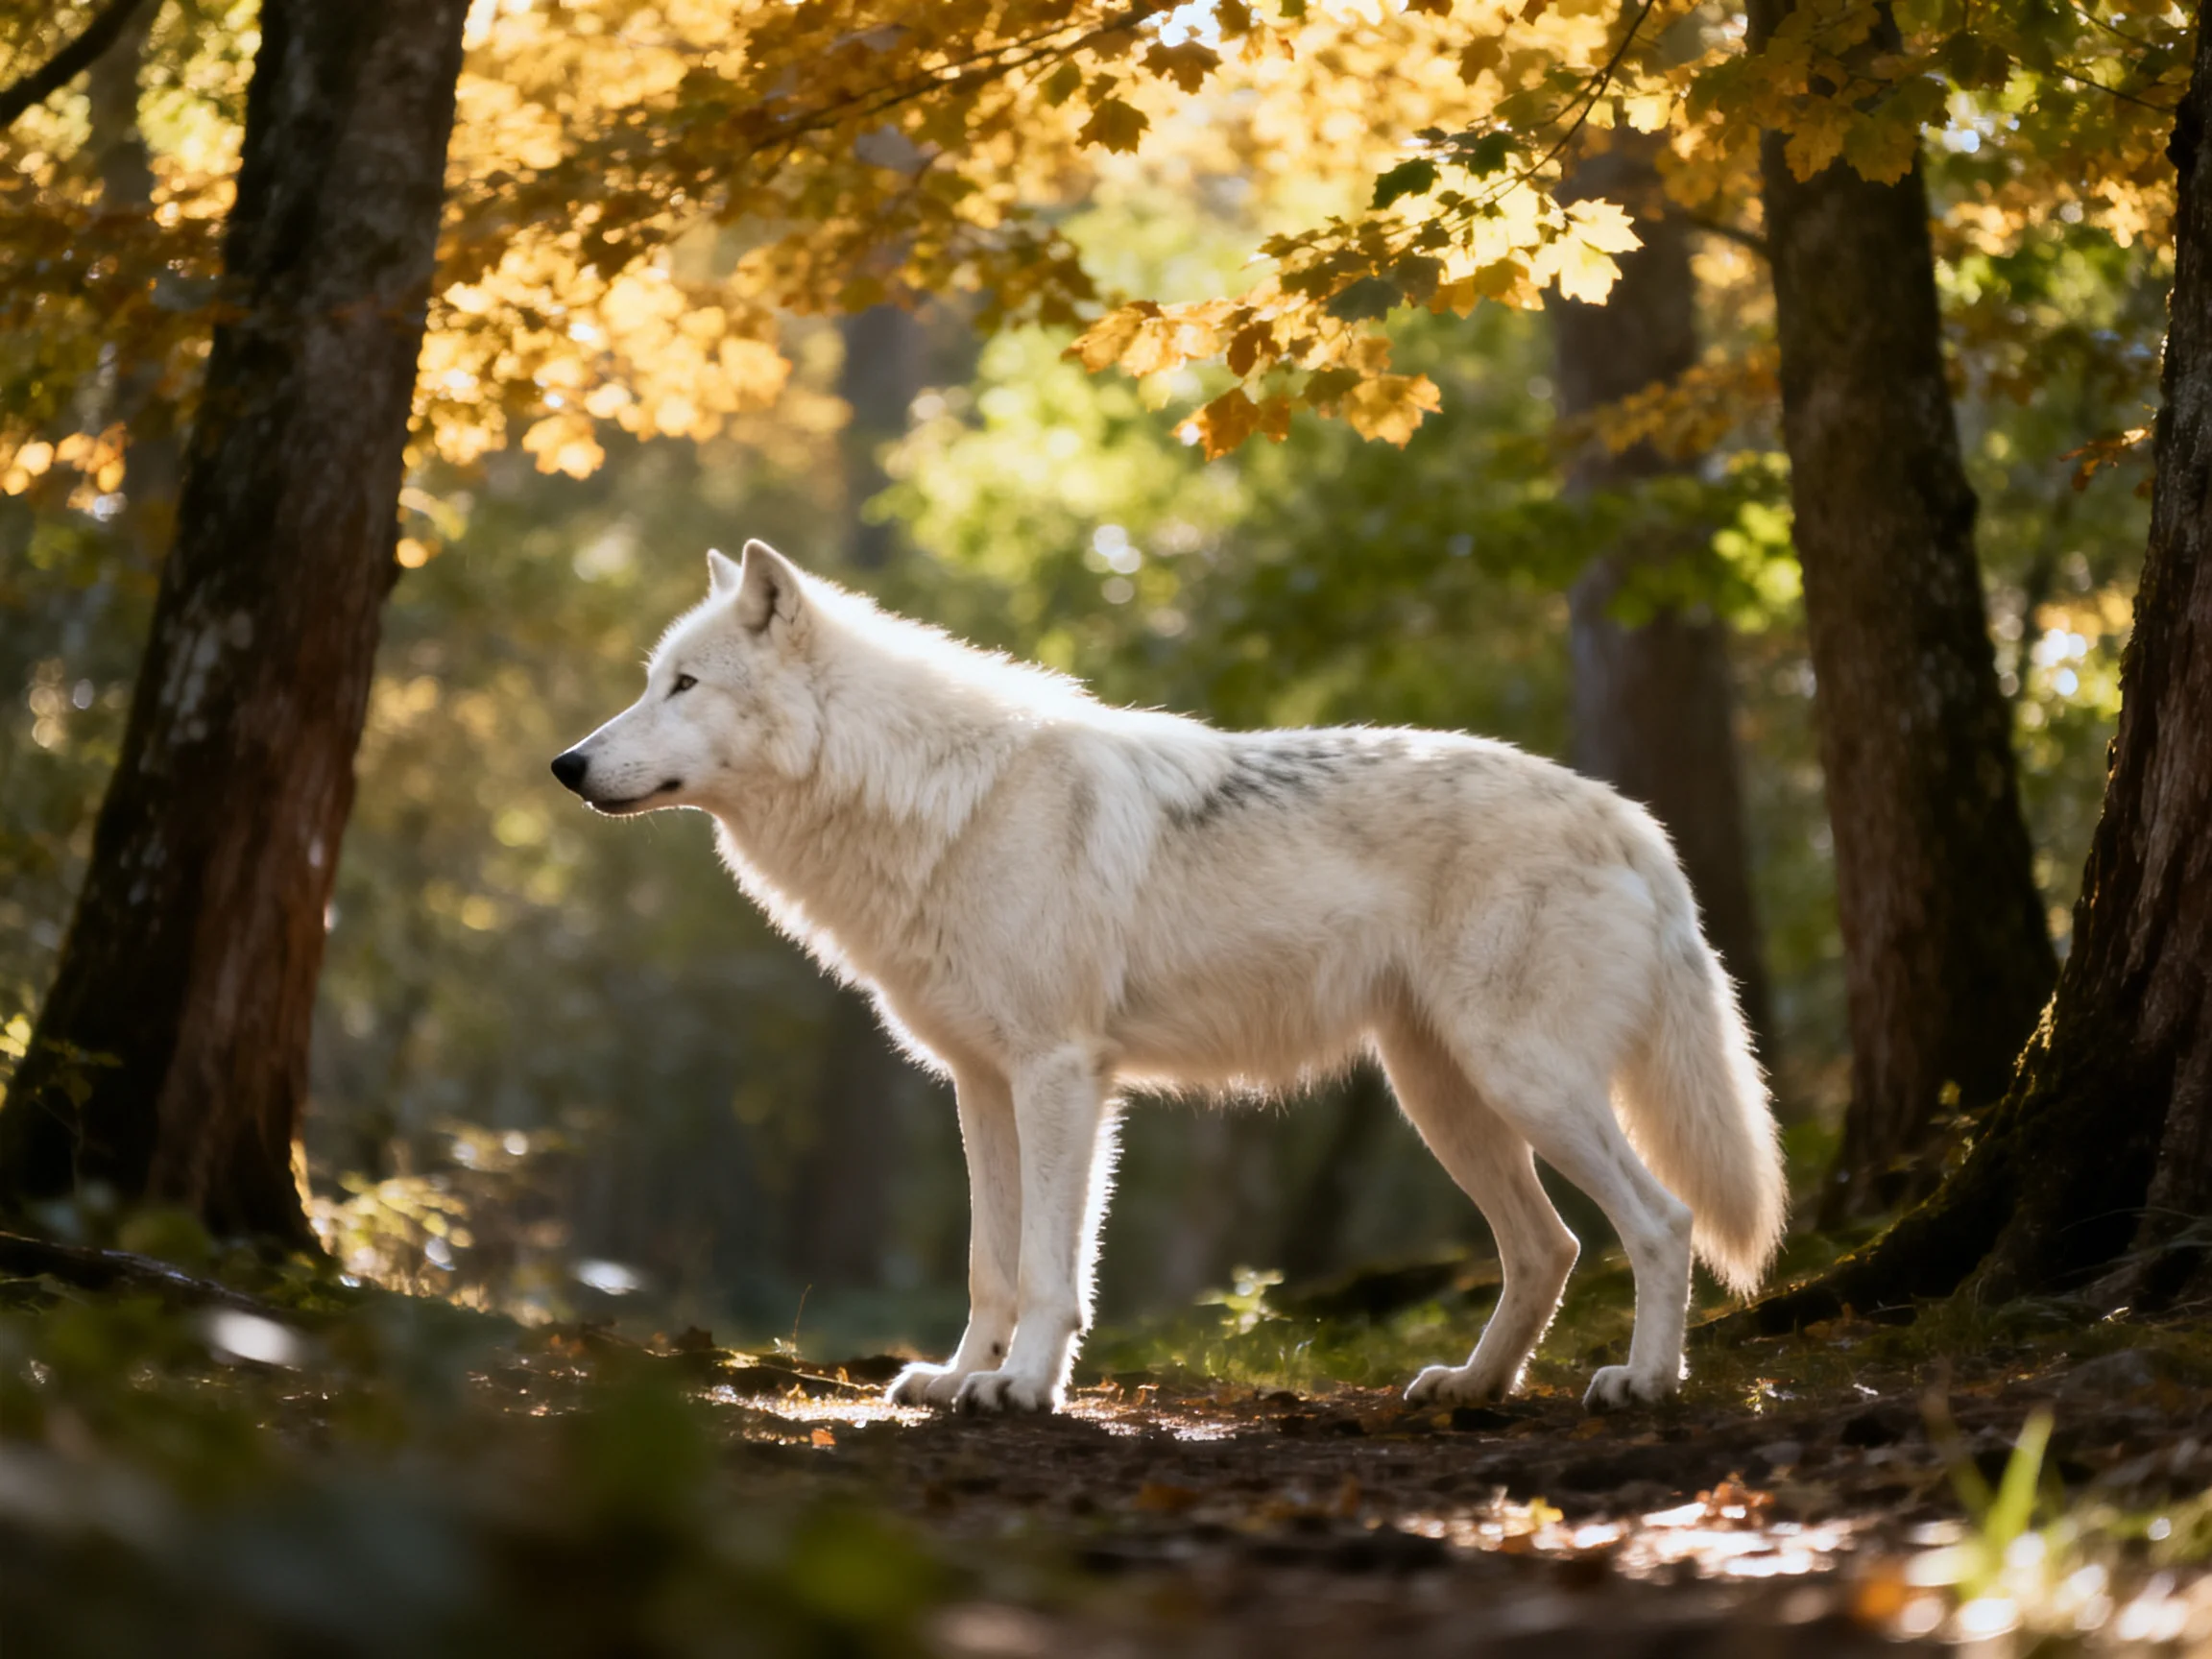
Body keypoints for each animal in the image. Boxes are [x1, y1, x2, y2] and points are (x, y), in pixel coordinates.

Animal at [552, 541, 1785, 1414]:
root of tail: (1629, 819)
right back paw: (1471, 1388)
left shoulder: (1061, 1074)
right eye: (651, 682)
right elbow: (989, 1264)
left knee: (1661, 1222)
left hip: (1523, 1085)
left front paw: (1021, 1389)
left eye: (684, 685)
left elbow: (1050, 1265)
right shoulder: (979, 1084)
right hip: (1446, 1100)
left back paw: (1643, 1383)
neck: (930, 796)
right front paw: (958, 1378)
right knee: (1549, 1248)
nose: (564, 765)